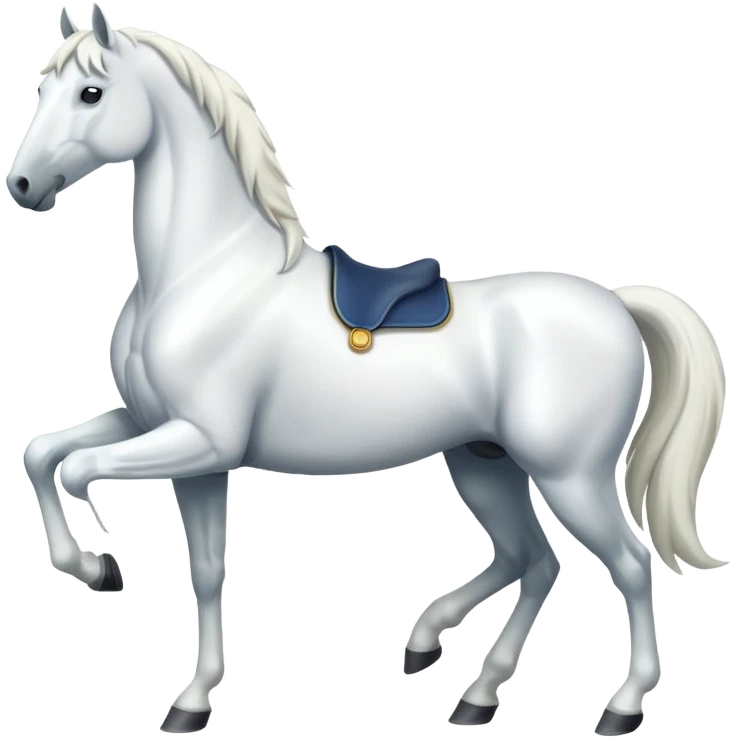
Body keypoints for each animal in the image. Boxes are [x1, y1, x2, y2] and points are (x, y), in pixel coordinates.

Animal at [10, 4, 728, 735]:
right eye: (42, 87)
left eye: (91, 93)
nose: (22, 186)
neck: (201, 274)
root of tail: (615, 302)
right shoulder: (171, 438)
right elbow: (60, 465)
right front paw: (187, 694)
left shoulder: (200, 442)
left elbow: (79, 470)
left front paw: (103, 560)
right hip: (485, 463)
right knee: (531, 559)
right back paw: (463, 679)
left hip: (568, 475)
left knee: (627, 564)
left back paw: (621, 704)